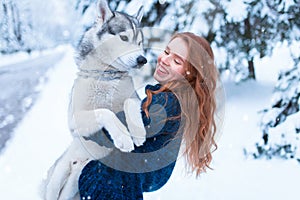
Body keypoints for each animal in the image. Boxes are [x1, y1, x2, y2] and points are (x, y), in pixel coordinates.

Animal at [42, 0, 148, 199]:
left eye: (140, 43)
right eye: (124, 38)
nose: (142, 59)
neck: (107, 77)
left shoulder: (135, 98)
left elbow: (129, 103)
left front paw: (137, 132)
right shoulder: (74, 121)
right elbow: (104, 112)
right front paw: (123, 136)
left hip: (74, 184)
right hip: (57, 179)